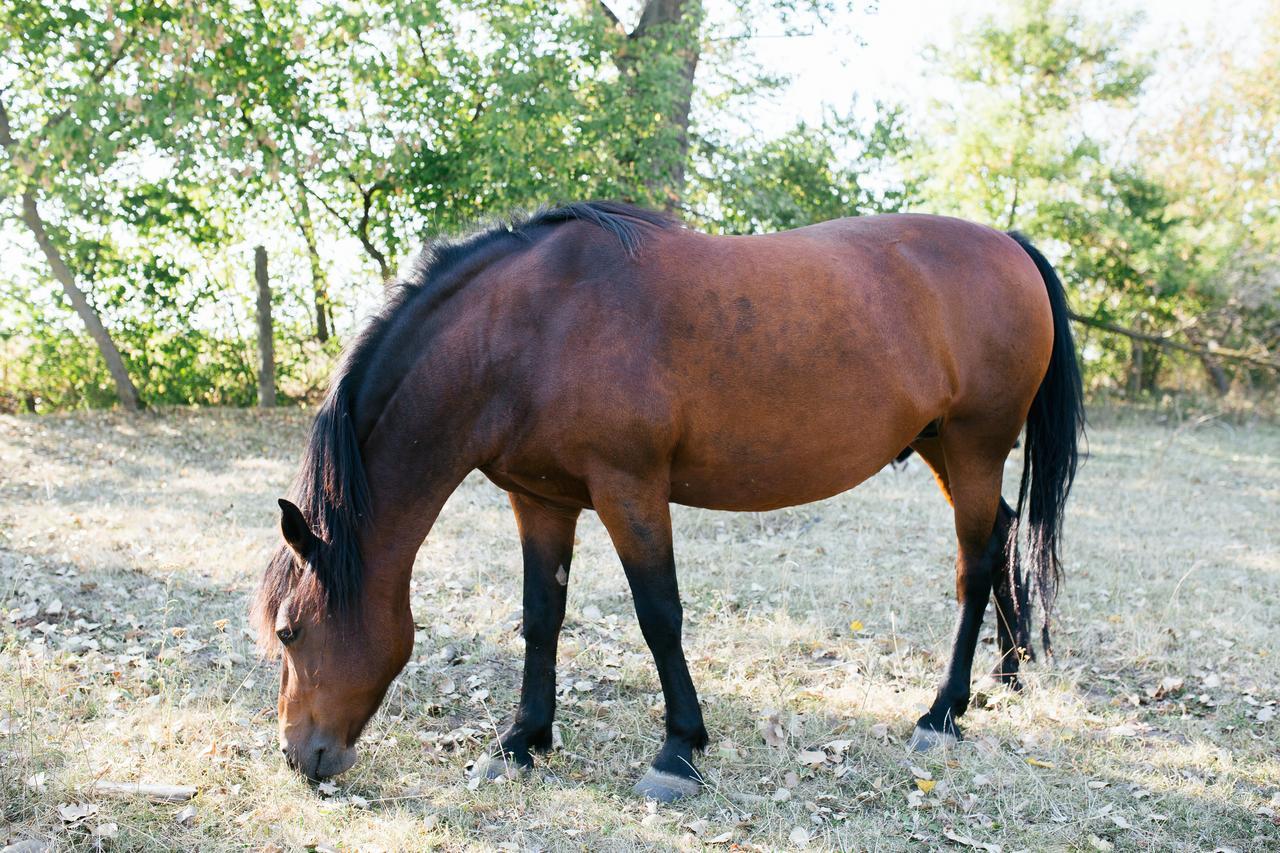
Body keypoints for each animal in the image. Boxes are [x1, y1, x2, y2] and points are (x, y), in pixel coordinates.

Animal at [249, 199, 1080, 799]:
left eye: (290, 631)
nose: (300, 755)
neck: (531, 329)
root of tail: (1010, 243)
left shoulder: (631, 490)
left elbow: (659, 616)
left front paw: (678, 749)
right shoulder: (541, 501)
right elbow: (541, 617)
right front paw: (521, 741)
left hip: (976, 444)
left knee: (973, 566)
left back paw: (942, 711)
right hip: (945, 446)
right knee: (1003, 536)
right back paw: (1006, 671)